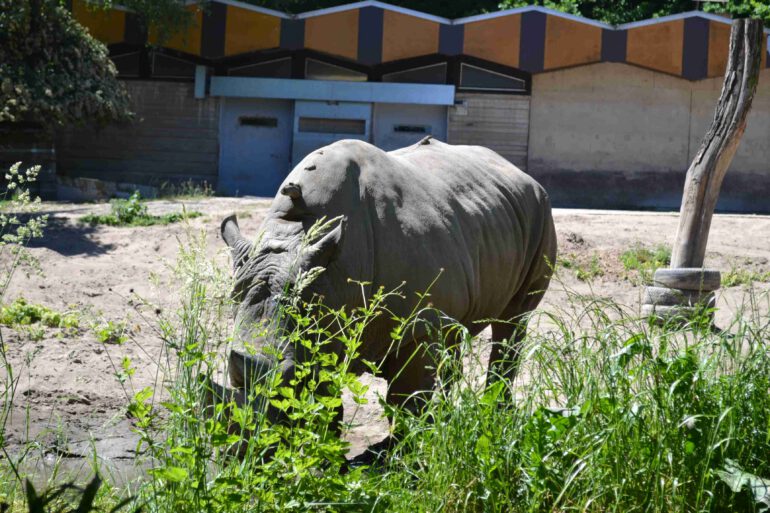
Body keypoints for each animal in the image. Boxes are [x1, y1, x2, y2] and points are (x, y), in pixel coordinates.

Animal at [219, 136, 556, 437]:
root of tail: (515, 169)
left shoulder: (416, 328)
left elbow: (406, 404)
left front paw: (401, 458)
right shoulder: (325, 329)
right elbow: (324, 400)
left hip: (540, 211)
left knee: (513, 321)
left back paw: (495, 414)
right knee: (454, 336)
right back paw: (448, 418)